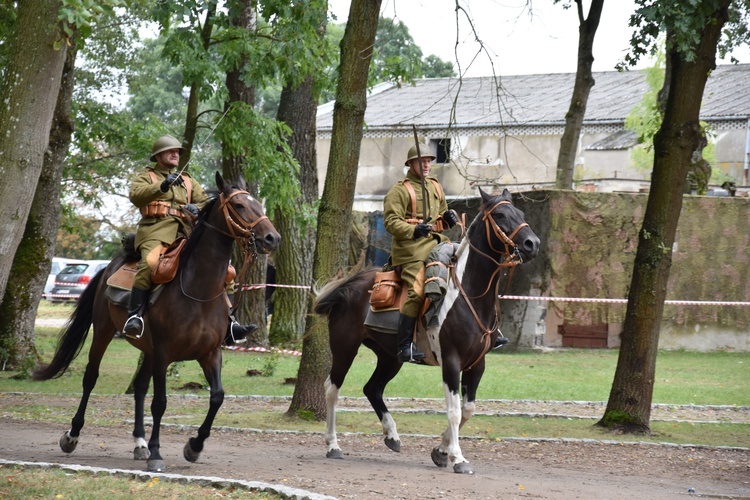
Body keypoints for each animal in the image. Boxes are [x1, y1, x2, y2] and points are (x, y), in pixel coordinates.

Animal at [30, 172, 280, 472]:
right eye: (239, 205)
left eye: (258, 204)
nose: (272, 238)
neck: (198, 289)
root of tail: (111, 266)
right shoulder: (164, 353)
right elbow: (160, 402)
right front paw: (158, 453)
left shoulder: (210, 353)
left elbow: (217, 396)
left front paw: (194, 446)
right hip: (104, 332)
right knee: (91, 377)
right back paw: (73, 435)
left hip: (146, 349)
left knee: (139, 387)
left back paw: (140, 443)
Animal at [312, 188, 540, 472]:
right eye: (499, 215)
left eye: (520, 213)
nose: (533, 244)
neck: (468, 294)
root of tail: (349, 286)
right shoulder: (451, 362)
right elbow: (454, 411)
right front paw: (457, 458)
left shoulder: (477, 364)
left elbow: (468, 410)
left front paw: (441, 451)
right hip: (345, 349)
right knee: (332, 389)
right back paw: (333, 445)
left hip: (391, 357)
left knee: (372, 389)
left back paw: (392, 435)